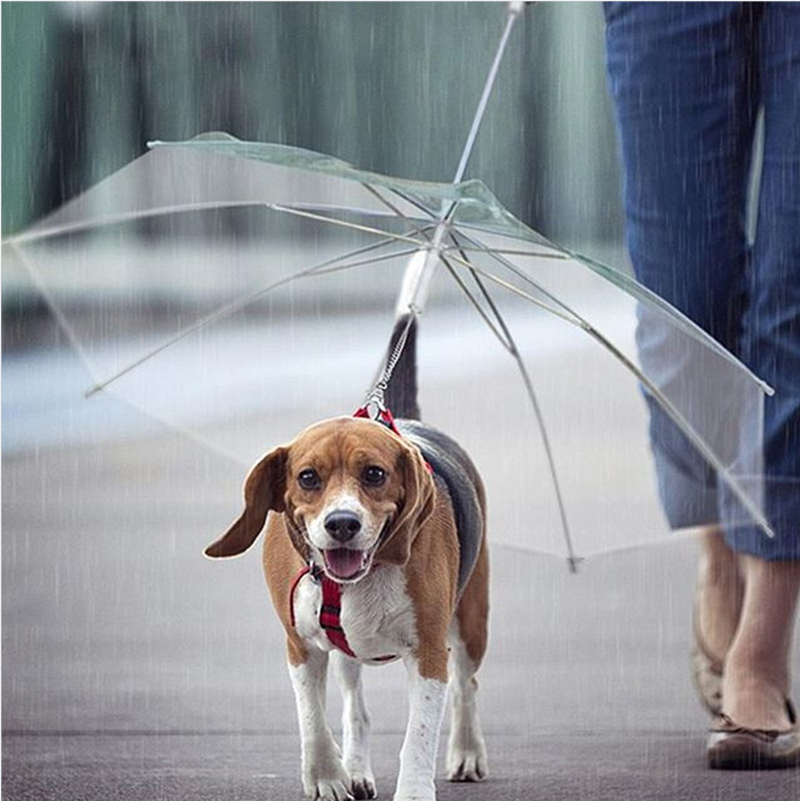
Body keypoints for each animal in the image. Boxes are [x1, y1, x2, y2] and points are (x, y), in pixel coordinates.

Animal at [206, 318, 488, 800]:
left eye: (374, 474)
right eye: (308, 477)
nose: (342, 523)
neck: (360, 576)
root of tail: (405, 418)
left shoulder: (429, 651)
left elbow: (419, 736)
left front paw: (413, 791)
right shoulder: (300, 645)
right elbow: (312, 720)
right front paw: (326, 776)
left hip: (471, 621)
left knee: (466, 685)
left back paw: (467, 751)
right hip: (345, 654)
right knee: (356, 709)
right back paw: (355, 768)